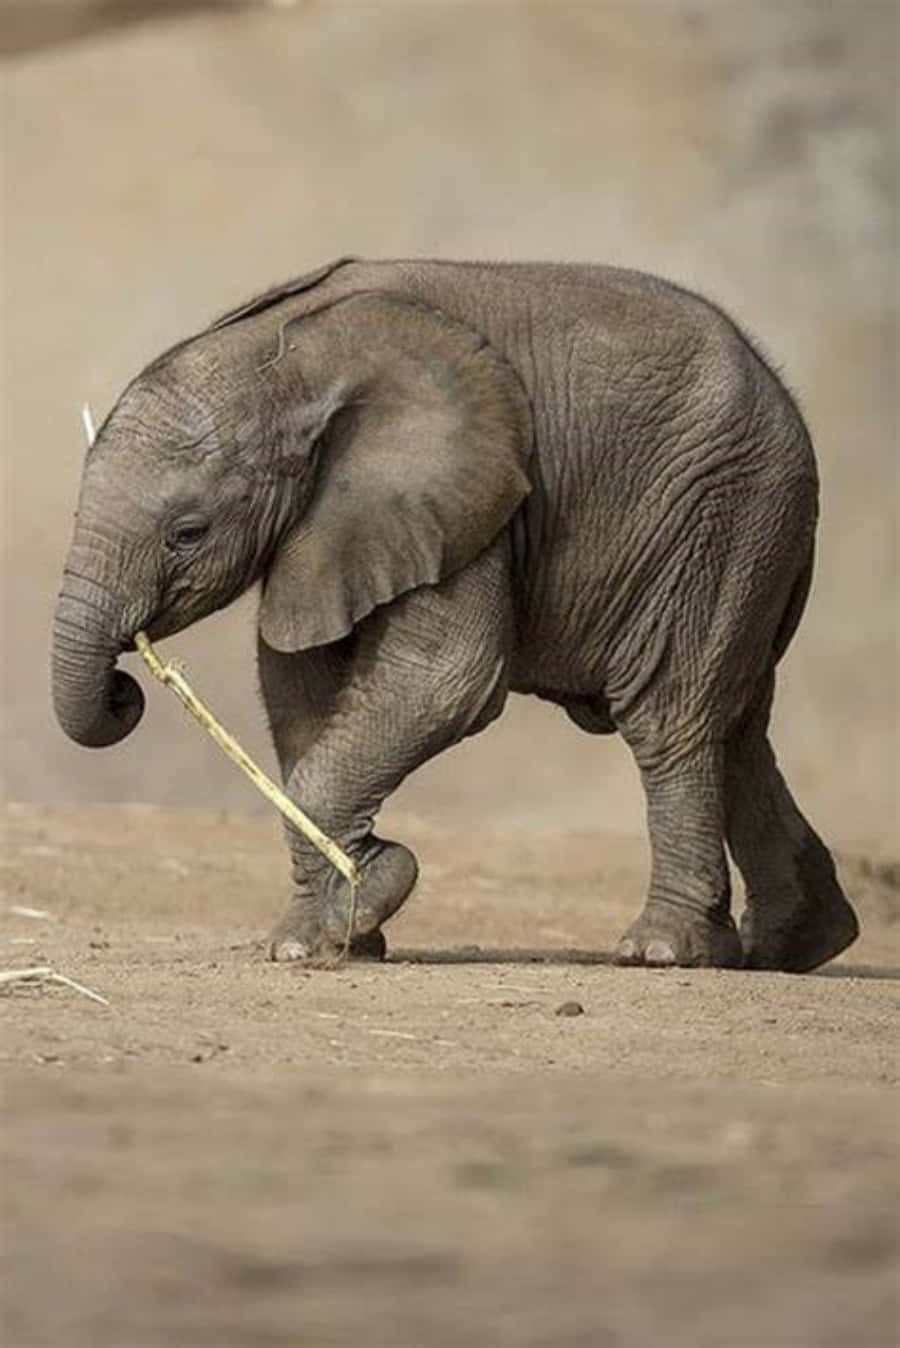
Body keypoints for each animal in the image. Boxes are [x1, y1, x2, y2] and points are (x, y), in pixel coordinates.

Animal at [52, 257, 859, 971]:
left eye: (187, 532)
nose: (125, 690)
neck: (291, 357)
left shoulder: (470, 498)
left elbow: (445, 682)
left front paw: (373, 889)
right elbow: (299, 692)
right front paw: (325, 936)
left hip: (720, 514)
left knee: (671, 714)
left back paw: (663, 953)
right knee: (738, 725)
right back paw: (796, 947)